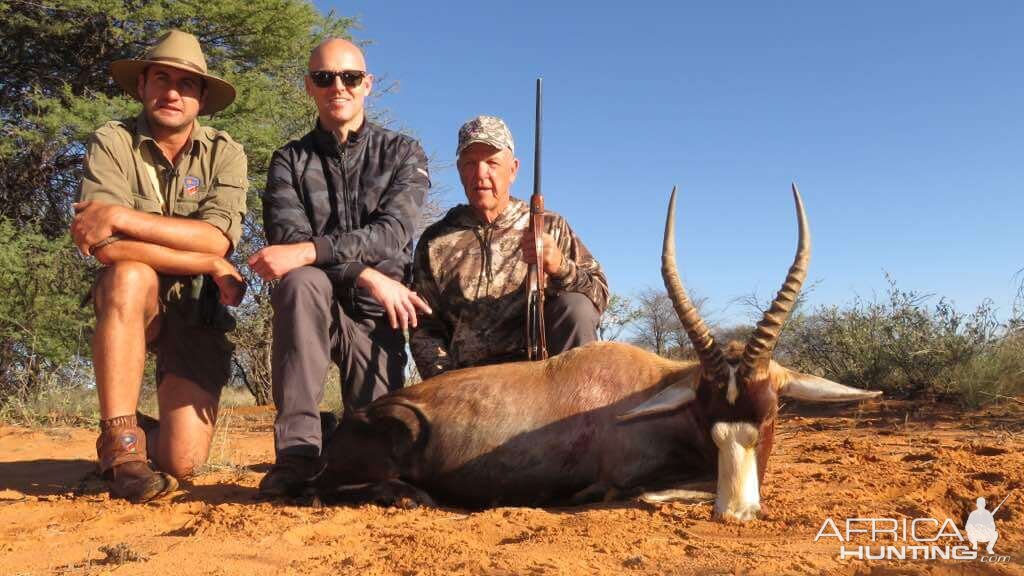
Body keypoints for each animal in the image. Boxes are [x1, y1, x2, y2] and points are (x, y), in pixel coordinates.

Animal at [317, 184, 880, 520]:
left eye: (768, 415)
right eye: (708, 418)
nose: (736, 512)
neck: (654, 392)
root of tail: (354, 421)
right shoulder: (633, 473)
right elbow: (648, 490)